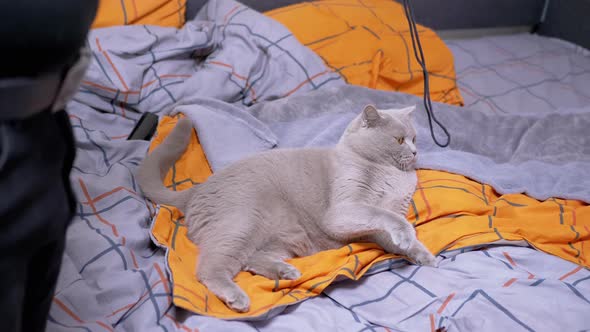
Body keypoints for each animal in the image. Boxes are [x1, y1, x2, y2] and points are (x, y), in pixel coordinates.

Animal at [136, 105, 438, 312]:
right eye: (399, 140)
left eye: (415, 139)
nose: (415, 153)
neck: (391, 175)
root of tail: (197, 189)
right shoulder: (344, 210)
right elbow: (385, 216)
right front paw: (406, 234)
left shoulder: (375, 227)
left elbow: (395, 236)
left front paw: (424, 255)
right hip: (242, 221)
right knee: (210, 268)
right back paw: (238, 298)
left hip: (283, 237)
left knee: (250, 259)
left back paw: (286, 272)